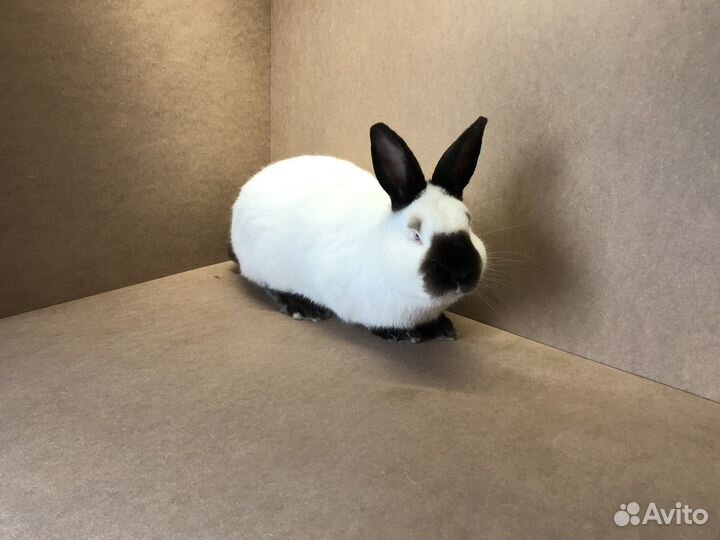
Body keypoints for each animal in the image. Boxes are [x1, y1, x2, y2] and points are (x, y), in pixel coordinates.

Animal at [230, 116, 489, 343]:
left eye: (468, 222)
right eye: (416, 235)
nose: (461, 274)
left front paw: (443, 328)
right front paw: (403, 335)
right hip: (266, 264)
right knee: (267, 285)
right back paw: (303, 308)